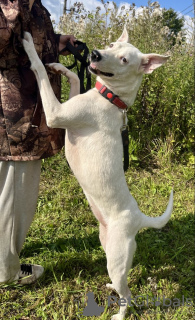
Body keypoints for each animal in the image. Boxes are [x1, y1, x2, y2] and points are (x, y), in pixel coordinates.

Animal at [22, 28, 173, 318]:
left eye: (124, 60)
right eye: (112, 44)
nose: (93, 54)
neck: (111, 98)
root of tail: (139, 218)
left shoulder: (56, 114)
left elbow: (40, 72)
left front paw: (30, 48)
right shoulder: (70, 101)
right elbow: (73, 79)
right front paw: (60, 66)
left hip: (116, 256)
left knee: (128, 293)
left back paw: (119, 313)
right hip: (106, 243)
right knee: (121, 280)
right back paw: (111, 286)